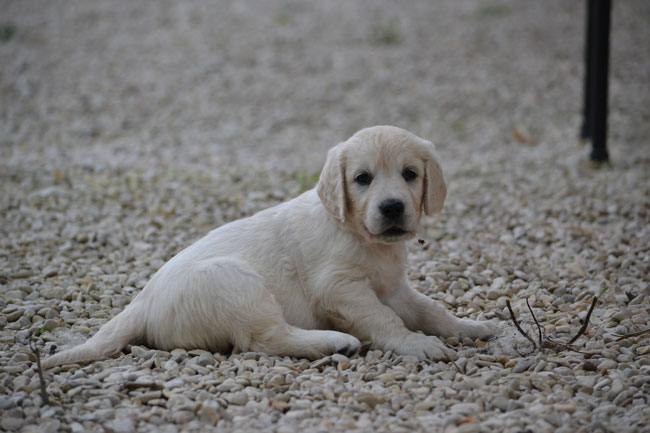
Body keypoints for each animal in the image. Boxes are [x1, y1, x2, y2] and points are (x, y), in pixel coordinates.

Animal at [40, 125, 494, 368]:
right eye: (362, 178)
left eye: (410, 174)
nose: (392, 207)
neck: (356, 232)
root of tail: (143, 302)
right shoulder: (341, 289)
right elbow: (385, 320)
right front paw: (417, 344)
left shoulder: (393, 287)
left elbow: (431, 310)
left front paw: (471, 327)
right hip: (237, 284)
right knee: (263, 340)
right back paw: (334, 342)